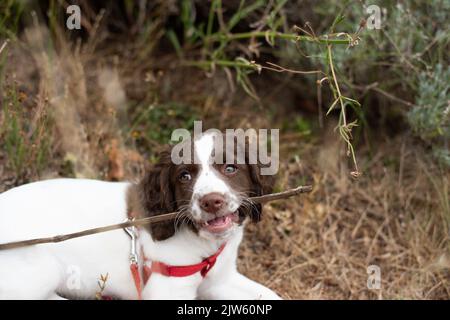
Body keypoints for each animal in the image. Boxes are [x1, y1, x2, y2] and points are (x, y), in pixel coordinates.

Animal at [0, 132, 282, 300]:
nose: (211, 201)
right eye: (184, 176)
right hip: (38, 272)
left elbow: (271, 296)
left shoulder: (220, 280)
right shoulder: (167, 289)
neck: (203, 244)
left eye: (230, 168)